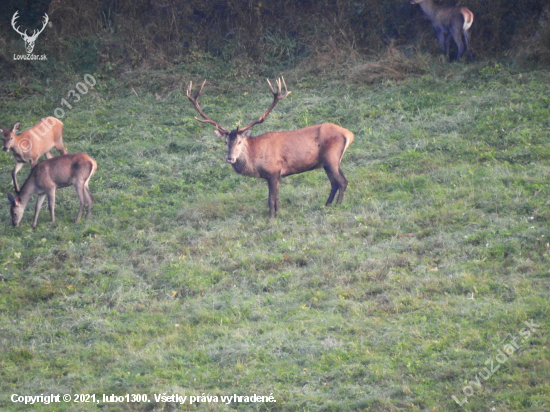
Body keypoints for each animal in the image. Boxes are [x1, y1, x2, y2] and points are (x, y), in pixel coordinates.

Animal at [188, 78, 356, 219]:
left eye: (239, 142)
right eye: (226, 142)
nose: (230, 158)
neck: (255, 160)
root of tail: (349, 133)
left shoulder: (274, 172)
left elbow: (271, 199)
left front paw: (272, 218)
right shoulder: (274, 176)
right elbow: (276, 198)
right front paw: (277, 214)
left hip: (331, 158)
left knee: (342, 181)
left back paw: (337, 206)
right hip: (328, 162)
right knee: (335, 183)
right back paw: (327, 205)